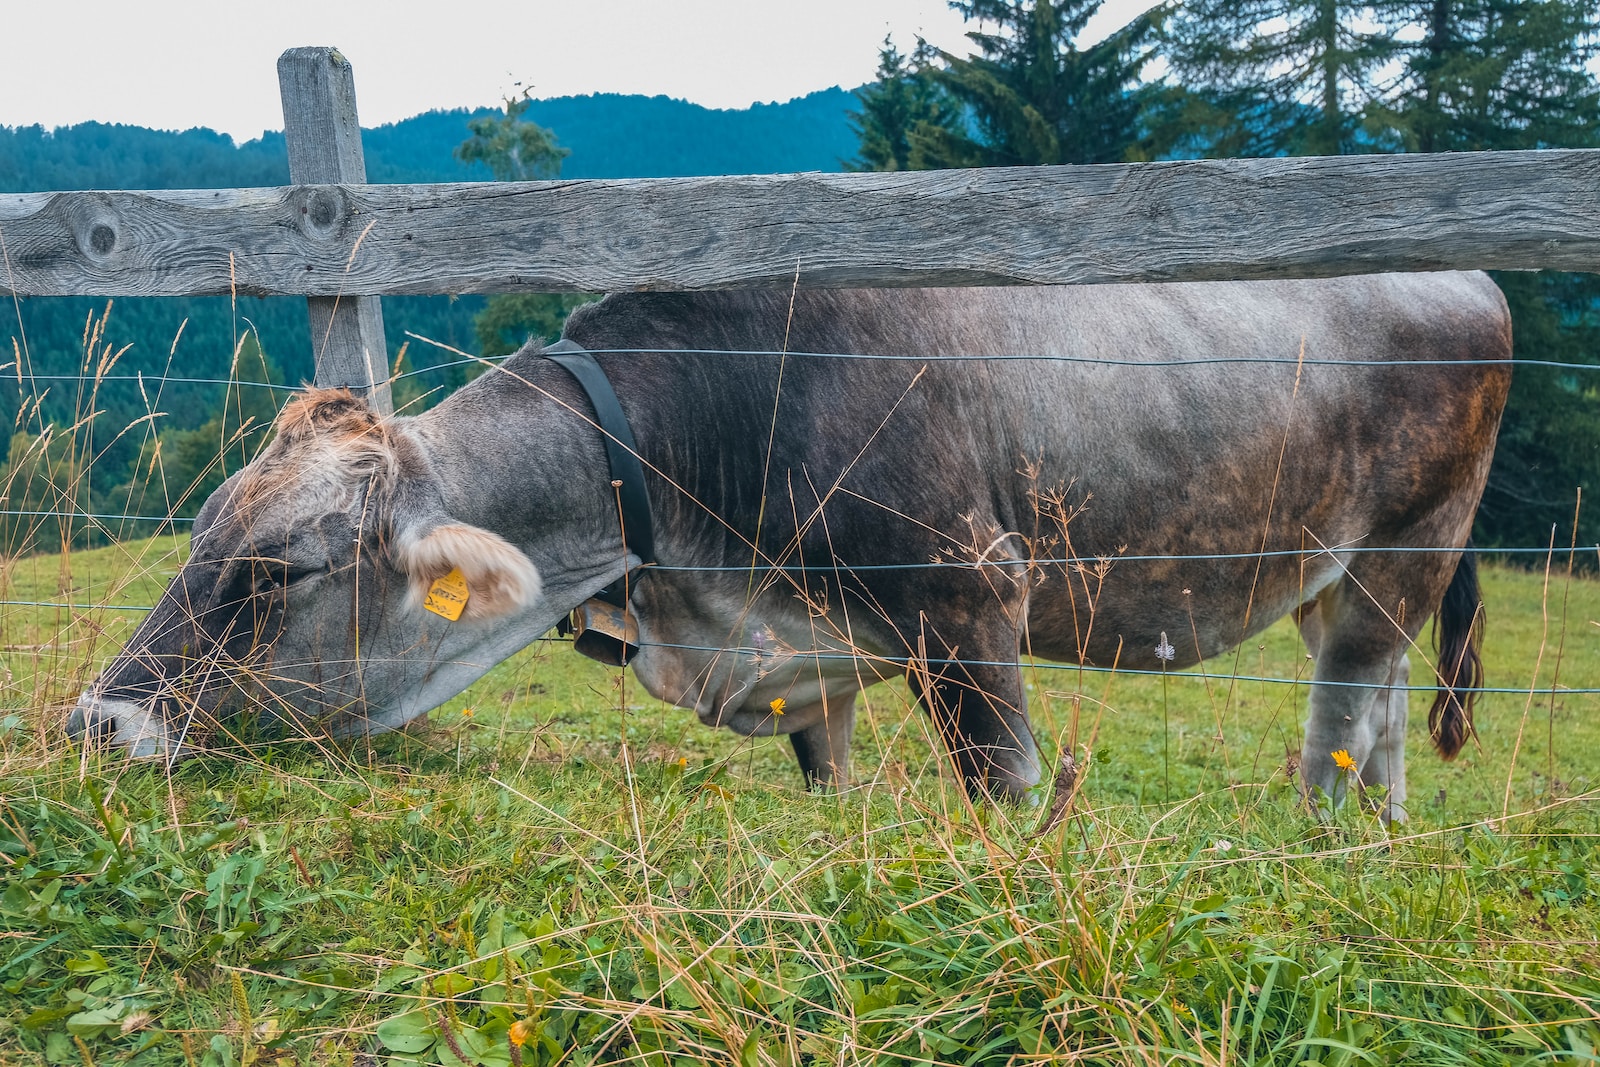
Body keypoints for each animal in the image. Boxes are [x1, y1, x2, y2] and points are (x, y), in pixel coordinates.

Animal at [65, 273, 1510, 819]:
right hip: (1346, 578)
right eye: (203, 530)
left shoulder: (964, 603)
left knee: (1340, 720)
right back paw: (1378, 842)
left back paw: (1318, 843)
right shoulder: (804, 657)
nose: (95, 720)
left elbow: (1001, 790)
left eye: (277, 568)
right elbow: (829, 786)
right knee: (1378, 717)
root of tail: (1459, 274)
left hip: (1403, 552)